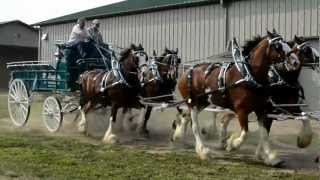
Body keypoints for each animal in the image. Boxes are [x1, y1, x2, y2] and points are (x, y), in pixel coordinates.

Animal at [178, 31, 298, 166]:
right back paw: (203, 151)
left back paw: (180, 137)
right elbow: (245, 133)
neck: (249, 75)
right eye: (277, 46)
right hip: (193, 102)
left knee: (186, 117)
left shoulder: (261, 110)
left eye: (287, 43)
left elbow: (264, 134)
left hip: (202, 102)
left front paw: (271, 158)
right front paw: (232, 145)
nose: (295, 61)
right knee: (194, 125)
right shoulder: (241, 111)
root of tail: (186, 72)